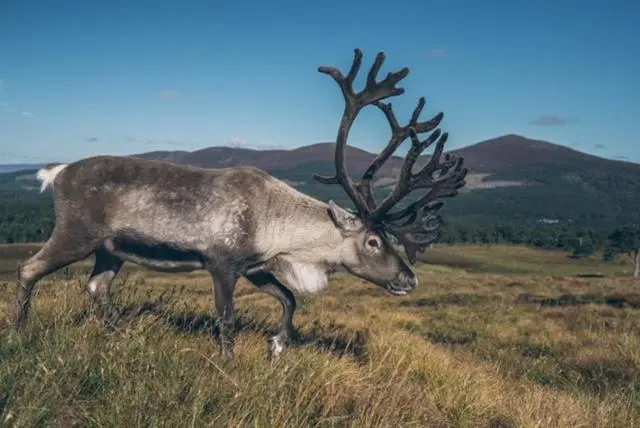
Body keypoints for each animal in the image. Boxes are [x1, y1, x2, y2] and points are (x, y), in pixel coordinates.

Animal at [15, 48, 467, 360]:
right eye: (374, 242)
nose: (409, 279)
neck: (278, 226)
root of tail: (57, 172)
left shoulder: (256, 267)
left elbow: (289, 298)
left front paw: (279, 345)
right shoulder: (222, 263)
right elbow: (228, 318)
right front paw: (228, 362)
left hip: (111, 250)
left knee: (97, 286)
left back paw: (120, 332)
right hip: (75, 234)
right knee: (28, 269)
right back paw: (20, 333)